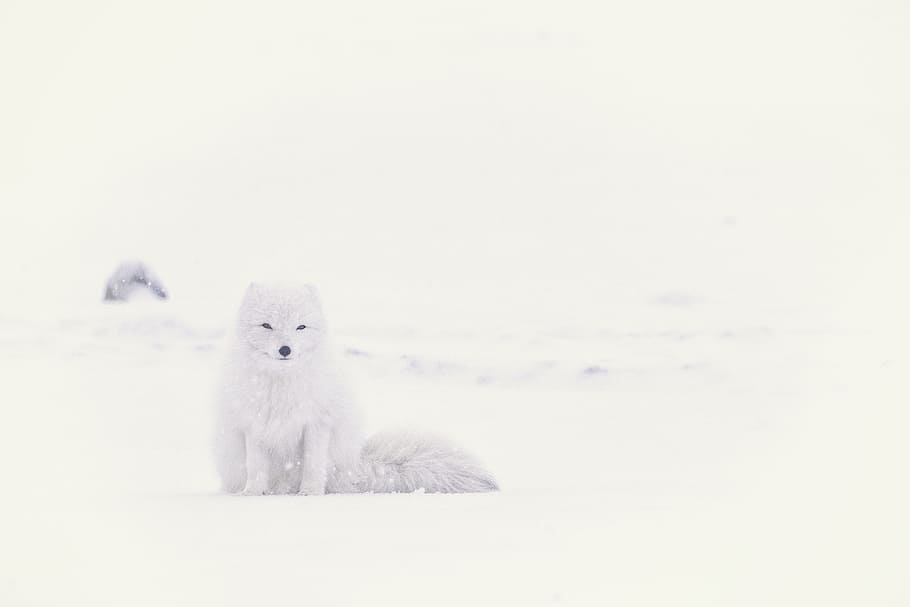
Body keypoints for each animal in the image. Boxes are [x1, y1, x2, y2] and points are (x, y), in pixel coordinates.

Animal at [213, 282, 498, 495]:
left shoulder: (318, 422)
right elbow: (255, 465)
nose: (285, 349)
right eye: (266, 325)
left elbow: (313, 463)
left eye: (300, 327)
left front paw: (310, 493)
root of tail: (355, 464)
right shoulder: (253, 423)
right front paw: (253, 493)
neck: (282, 384)